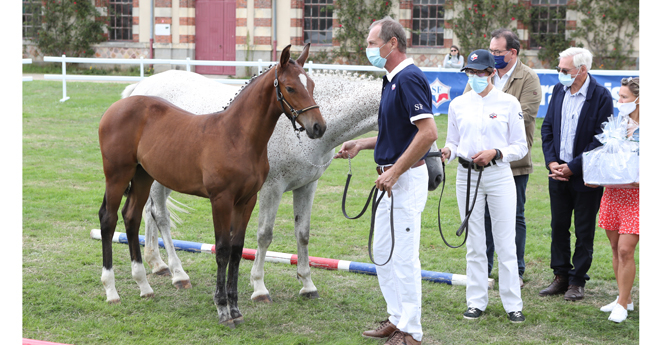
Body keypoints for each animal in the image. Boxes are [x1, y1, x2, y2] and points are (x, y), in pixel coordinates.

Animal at [124, 69, 444, 300]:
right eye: (414, 124)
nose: (436, 175)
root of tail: (138, 89)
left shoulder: (307, 186)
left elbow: (303, 234)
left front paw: (307, 285)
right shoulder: (271, 190)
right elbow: (264, 235)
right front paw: (258, 287)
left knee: (150, 214)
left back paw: (158, 264)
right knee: (161, 216)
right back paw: (178, 274)